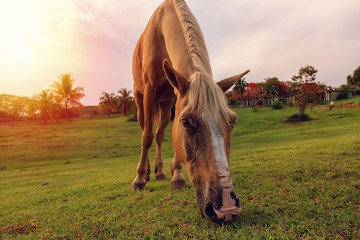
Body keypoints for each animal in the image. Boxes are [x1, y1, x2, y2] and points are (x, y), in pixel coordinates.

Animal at [131, 0, 248, 225]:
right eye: (186, 122)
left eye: (232, 121)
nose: (227, 208)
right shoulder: (150, 92)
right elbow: (146, 137)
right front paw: (139, 179)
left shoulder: (176, 96)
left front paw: (176, 175)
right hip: (140, 98)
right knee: (145, 132)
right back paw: (147, 172)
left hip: (165, 104)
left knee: (160, 134)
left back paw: (159, 172)